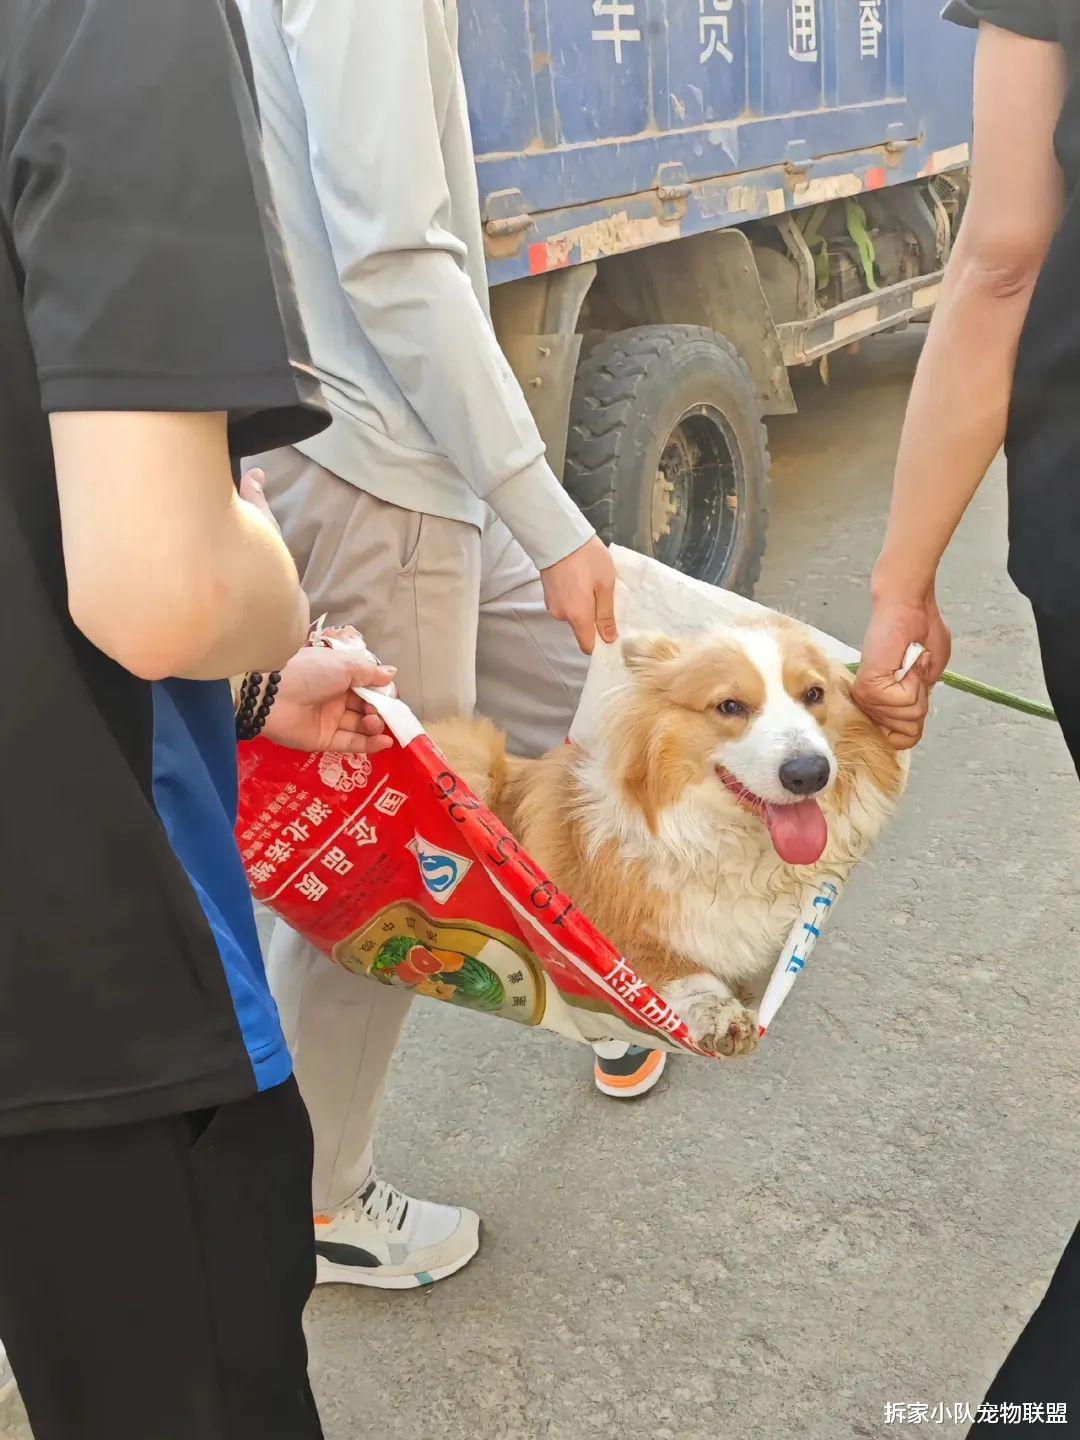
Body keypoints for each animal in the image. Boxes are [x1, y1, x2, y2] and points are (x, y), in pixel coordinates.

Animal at [431, 617, 906, 1057]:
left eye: (813, 695)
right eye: (729, 705)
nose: (809, 773)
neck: (725, 842)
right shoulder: (602, 932)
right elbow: (674, 968)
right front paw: (719, 1013)